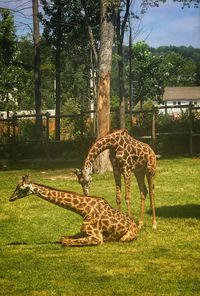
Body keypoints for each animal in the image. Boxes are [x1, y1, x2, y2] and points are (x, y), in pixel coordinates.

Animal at [9, 176, 138, 247]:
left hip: (124, 238)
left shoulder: (97, 237)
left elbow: (66, 242)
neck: (84, 210)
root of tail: (136, 225)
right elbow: (63, 238)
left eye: (21, 188)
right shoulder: (82, 232)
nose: (11, 198)